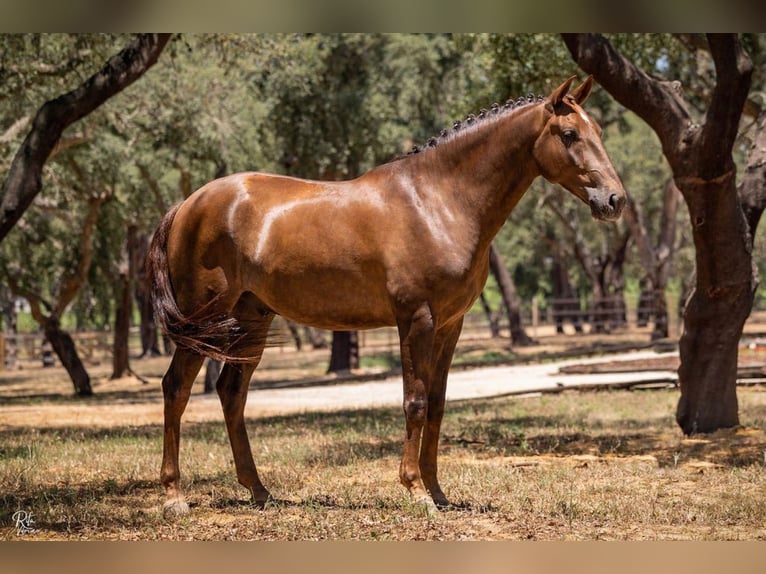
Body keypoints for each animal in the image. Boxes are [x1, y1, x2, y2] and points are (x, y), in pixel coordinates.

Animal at [147, 74, 628, 520]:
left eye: (600, 130)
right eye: (569, 134)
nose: (614, 200)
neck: (438, 201)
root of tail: (187, 205)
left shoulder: (450, 326)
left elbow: (437, 403)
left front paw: (438, 492)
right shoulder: (416, 319)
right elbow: (414, 401)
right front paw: (415, 490)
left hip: (252, 318)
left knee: (231, 393)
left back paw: (259, 491)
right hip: (203, 320)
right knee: (176, 388)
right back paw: (174, 496)